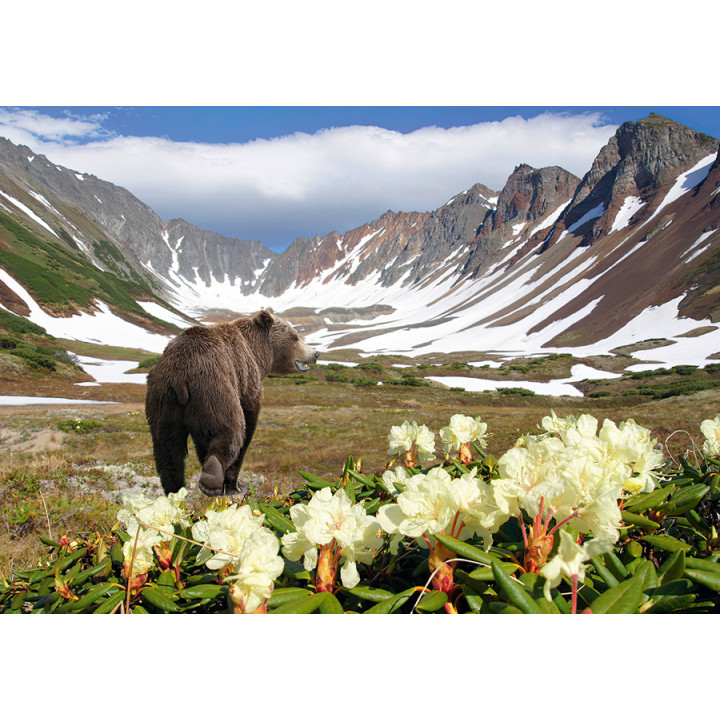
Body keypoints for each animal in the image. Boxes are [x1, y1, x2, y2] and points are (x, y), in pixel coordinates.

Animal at [145, 309, 318, 497]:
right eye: (295, 337)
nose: (316, 353)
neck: (259, 353)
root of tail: (180, 375)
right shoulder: (246, 380)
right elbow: (248, 421)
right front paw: (235, 484)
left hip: (162, 401)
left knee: (167, 450)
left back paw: (174, 488)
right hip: (215, 387)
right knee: (230, 428)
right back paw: (212, 479)